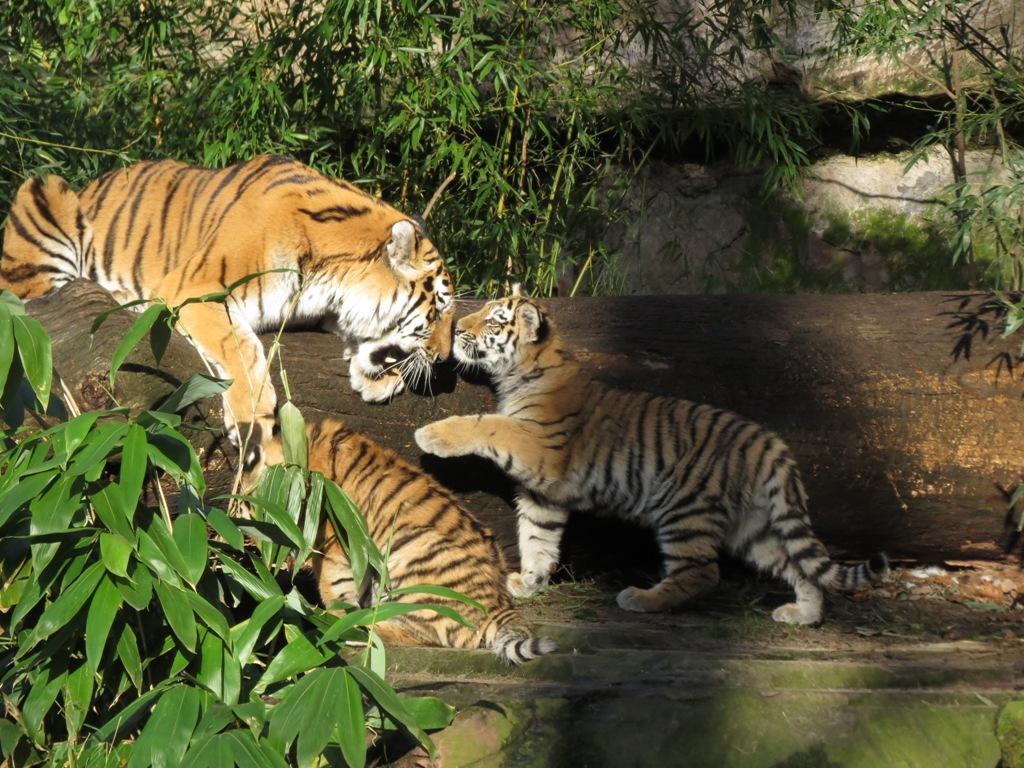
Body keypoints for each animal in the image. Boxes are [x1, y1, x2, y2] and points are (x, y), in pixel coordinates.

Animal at [0, 156, 455, 476]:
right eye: (438, 310)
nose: (445, 357)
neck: (330, 274)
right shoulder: (195, 289)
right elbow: (240, 348)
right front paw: (253, 421)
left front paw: (378, 379)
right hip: (43, 191)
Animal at [307, 416, 557, 664]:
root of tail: (502, 604)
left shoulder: (335, 539)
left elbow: (335, 586)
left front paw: (333, 620)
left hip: (415, 554)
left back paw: (354, 629)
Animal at [413, 285, 889, 625]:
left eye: (494, 320)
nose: (457, 329)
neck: (525, 372)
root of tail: (765, 440)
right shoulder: (544, 493)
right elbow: (537, 537)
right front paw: (529, 582)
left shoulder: (540, 446)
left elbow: (487, 424)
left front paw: (431, 435)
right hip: (751, 527)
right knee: (795, 564)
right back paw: (804, 614)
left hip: (683, 508)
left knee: (702, 573)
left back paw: (642, 598)